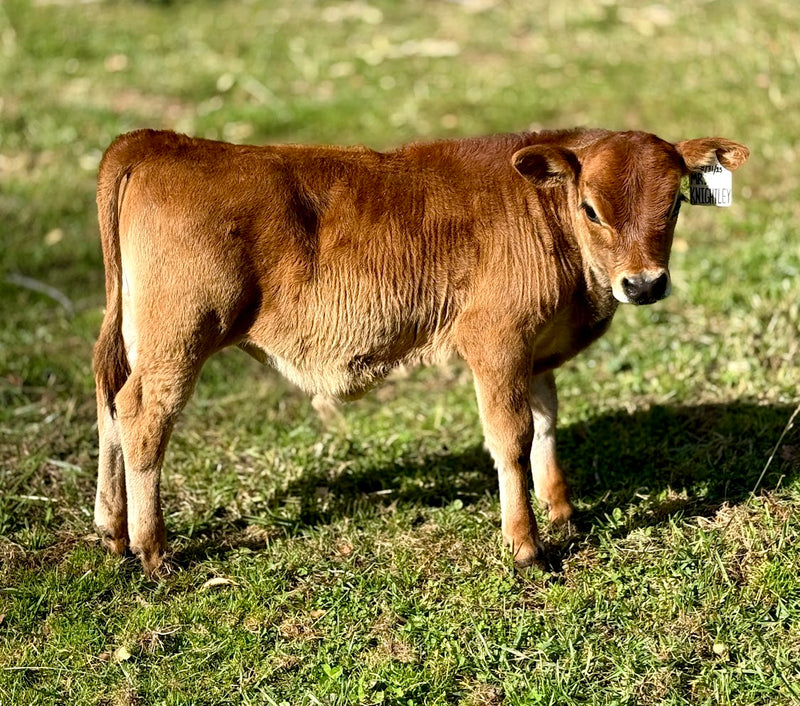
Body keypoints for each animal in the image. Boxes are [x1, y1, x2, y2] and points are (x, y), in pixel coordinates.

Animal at [92, 127, 749, 576]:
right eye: (591, 208)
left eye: (673, 203)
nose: (644, 283)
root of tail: (159, 142)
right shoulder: (496, 340)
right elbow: (509, 435)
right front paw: (526, 544)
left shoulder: (535, 354)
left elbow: (545, 424)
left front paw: (561, 510)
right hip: (180, 337)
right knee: (143, 417)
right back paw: (154, 550)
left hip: (135, 337)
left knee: (109, 402)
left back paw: (112, 530)